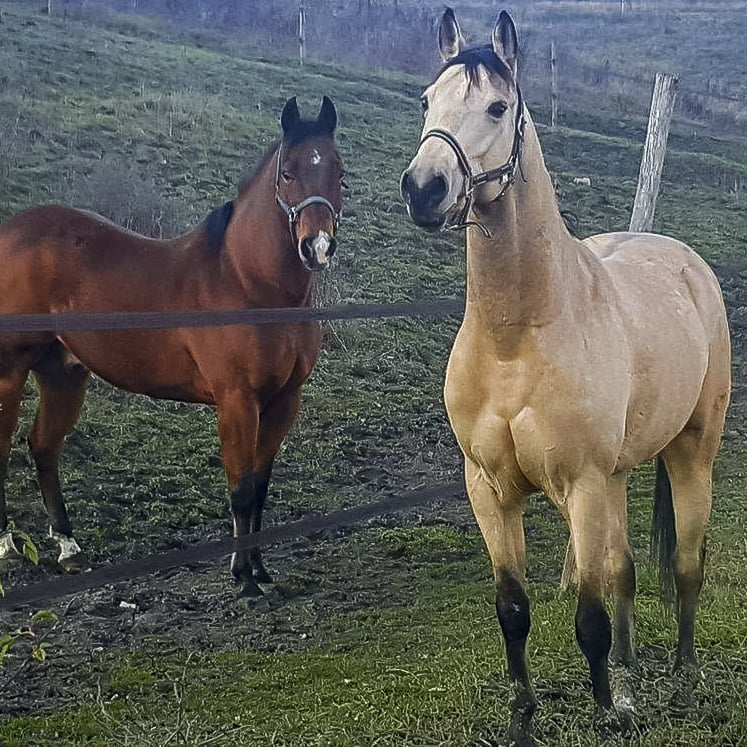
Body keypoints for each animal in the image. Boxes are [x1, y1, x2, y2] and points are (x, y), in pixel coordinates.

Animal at [0, 95, 346, 598]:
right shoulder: (237, 402)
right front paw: (244, 581)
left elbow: (261, 487)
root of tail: (12, 231)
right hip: (10, 370)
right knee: (5, 446)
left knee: (43, 445)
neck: (249, 283)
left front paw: (260, 571)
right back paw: (8, 544)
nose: (317, 246)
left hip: (63, 373)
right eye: (288, 173)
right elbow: (241, 490)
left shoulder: (284, 402)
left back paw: (67, 546)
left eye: (339, 172)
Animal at [401, 8, 730, 741]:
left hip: (690, 451)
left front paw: (607, 710)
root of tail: (687, 263)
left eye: (497, 107)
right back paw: (633, 672)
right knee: (625, 569)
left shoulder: (580, 483)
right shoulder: (490, 490)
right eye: (427, 102)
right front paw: (525, 714)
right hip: (618, 475)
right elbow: (514, 609)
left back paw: (683, 674)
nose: (424, 189)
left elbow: (588, 615)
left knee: (685, 566)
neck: (514, 338)